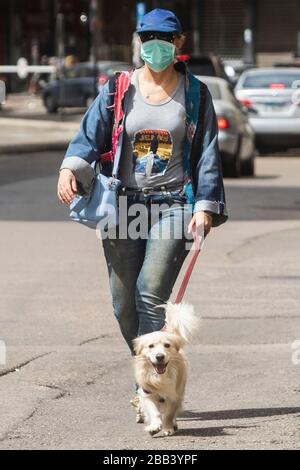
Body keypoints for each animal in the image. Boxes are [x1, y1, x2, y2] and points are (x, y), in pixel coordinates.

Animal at [133, 302, 199, 436]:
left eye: (167, 345)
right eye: (151, 346)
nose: (159, 356)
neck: (160, 377)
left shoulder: (175, 394)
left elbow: (169, 414)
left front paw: (168, 428)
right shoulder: (148, 393)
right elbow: (154, 411)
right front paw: (154, 427)